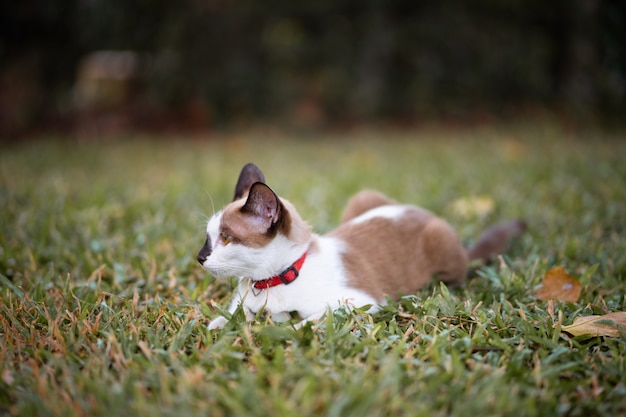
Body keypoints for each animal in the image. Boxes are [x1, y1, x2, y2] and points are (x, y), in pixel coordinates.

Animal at [197, 162, 524, 328]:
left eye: (226, 238)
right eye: (209, 237)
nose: (200, 258)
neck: (267, 282)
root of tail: (422, 212)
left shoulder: (359, 303)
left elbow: (306, 322)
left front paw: (285, 327)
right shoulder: (240, 307)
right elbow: (222, 320)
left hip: (440, 241)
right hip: (363, 198)